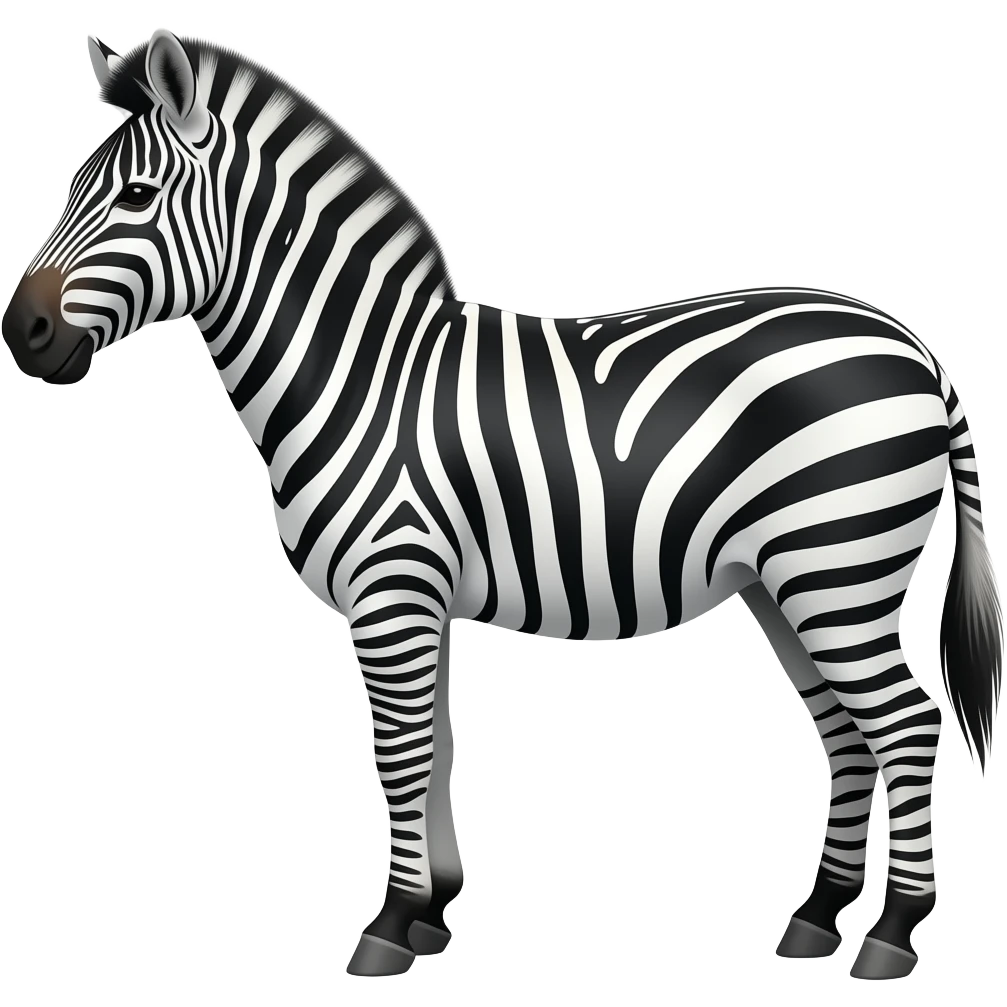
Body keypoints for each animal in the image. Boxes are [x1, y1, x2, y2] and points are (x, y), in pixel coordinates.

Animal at [1, 30, 1001, 983]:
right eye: (74, 186)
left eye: (135, 196)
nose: (23, 333)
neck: (363, 377)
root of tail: (914, 345)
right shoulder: (421, 595)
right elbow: (437, 749)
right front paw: (430, 915)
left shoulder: (391, 587)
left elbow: (402, 754)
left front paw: (388, 929)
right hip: (786, 582)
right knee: (845, 732)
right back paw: (815, 919)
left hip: (837, 567)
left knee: (905, 723)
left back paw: (891, 937)